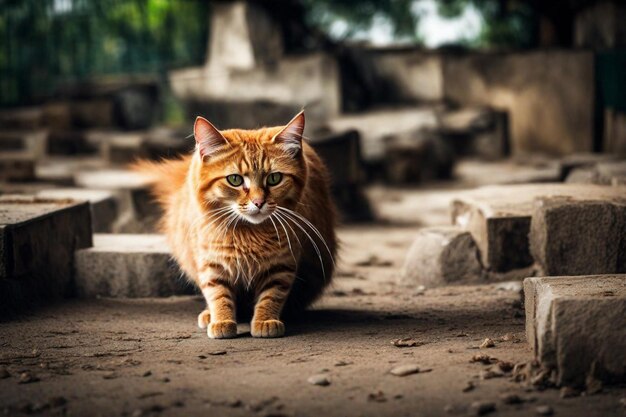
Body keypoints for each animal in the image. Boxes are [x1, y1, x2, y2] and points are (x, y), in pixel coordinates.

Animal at [135, 111, 334, 338]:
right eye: (235, 180)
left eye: (274, 178)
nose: (258, 202)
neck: (248, 234)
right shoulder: (211, 262)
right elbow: (218, 294)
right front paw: (222, 320)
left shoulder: (281, 264)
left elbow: (271, 295)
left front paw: (265, 320)